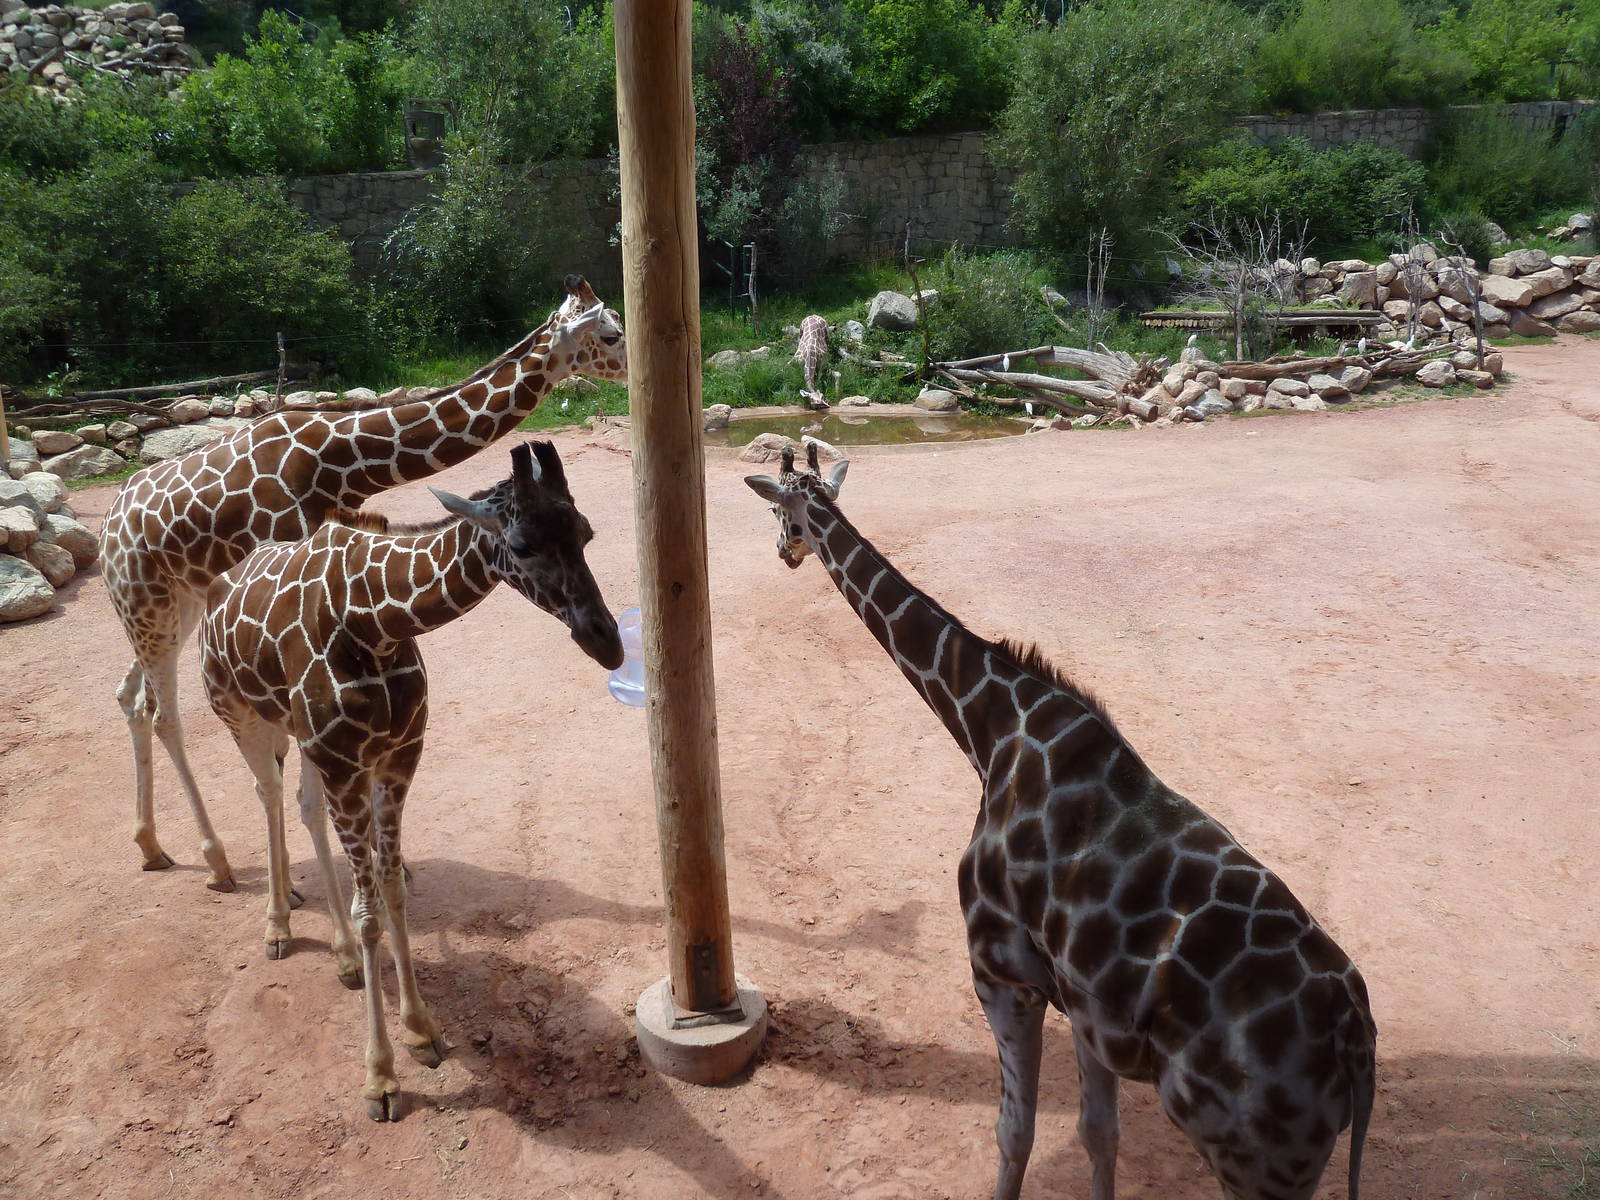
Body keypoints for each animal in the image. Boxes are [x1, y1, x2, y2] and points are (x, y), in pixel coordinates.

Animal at [101, 276, 625, 892]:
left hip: (176, 606)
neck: (343, 462)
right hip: (146, 603)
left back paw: (151, 845)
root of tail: (109, 522)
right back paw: (218, 861)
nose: (631, 369)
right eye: (609, 335)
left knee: (131, 698)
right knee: (164, 714)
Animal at [199, 440, 621, 1120]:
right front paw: (380, 1078)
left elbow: (391, 890)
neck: (374, 620)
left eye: (584, 531)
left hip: (313, 748)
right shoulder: (345, 761)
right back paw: (278, 926)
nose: (605, 642)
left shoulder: (394, 757)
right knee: (268, 796)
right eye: (522, 544)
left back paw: (342, 955)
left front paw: (421, 1031)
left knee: (304, 807)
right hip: (242, 716)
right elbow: (372, 908)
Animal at [745, 446, 1376, 1200]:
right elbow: (1097, 1134)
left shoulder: (1002, 973)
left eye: (779, 512)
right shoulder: (1085, 1005)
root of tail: (1355, 1035)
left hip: (1256, 1160)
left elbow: (1013, 1132)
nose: (783, 553)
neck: (993, 733)